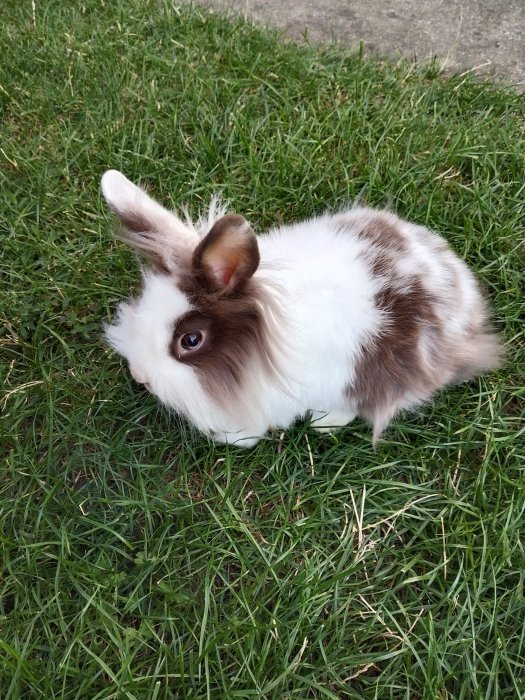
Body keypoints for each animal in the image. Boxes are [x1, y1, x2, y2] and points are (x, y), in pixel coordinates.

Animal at [101, 169, 503, 448]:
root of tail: (464, 289)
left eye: (190, 341)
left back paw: (325, 424)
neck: (263, 343)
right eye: (144, 302)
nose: (140, 376)